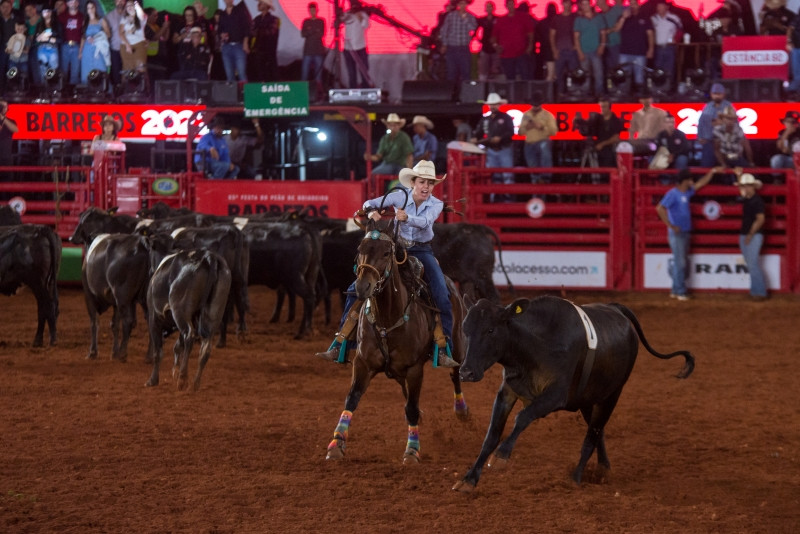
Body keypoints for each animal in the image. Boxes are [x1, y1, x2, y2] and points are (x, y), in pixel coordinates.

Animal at [81, 236, 152, 364]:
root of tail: (141, 245)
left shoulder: (89, 296)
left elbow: (94, 322)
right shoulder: (115, 303)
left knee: (128, 322)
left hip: (122, 297)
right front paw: (114, 352)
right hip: (143, 298)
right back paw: (149, 356)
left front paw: (93, 352)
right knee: (150, 322)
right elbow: (114, 325)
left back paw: (123, 353)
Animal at [145, 249, 231, 392]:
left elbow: (158, 351)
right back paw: (195, 383)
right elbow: (177, 346)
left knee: (189, 336)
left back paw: (183, 379)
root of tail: (208, 257)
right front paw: (175, 370)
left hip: (180, 311)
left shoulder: (154, 318)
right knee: (205, 347)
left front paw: (153, 380)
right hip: (214, 312)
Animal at [324, 220, 468, 466]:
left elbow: (411, 407)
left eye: (385, 253)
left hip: (456, 343)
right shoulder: (362, 363)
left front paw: (412, 451)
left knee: (455, 374)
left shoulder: (414, 369)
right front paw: (336, 444)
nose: (362, 287)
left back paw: (461, 410)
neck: (387, 318)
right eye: (360, 250)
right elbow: (351, 399)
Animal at [456, 298, 692, 494]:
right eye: (465, 330)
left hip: (611, 395)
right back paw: (603, 469)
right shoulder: (507, 391)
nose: (466, 372)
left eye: (490, 330)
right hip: (589, 399)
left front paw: (501, 456)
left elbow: (523, 417)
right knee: (598, 432)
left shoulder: (555, 396)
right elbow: (491, 435)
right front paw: (469, 479)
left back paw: (576, 477)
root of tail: (616, 308)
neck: (535, 345)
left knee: (591, 436)